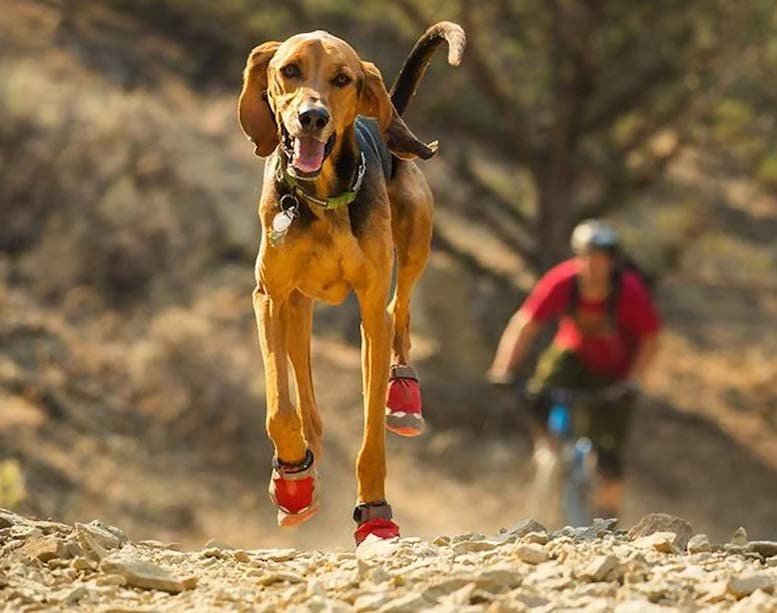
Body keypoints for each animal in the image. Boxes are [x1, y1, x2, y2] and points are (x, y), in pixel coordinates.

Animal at [239, 22, 464, 540]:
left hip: (416, 240)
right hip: (297, 306)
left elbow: (371, 439)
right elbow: (281, 409)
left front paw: (375, 512)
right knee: (308, 399)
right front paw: (293, 479)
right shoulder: (268, 297)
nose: (313, 117)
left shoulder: (370, 308)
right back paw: (303, 464)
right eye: (289, 70)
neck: (321, 198)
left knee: (400, 314)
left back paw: (403, 393)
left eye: (342, 79)